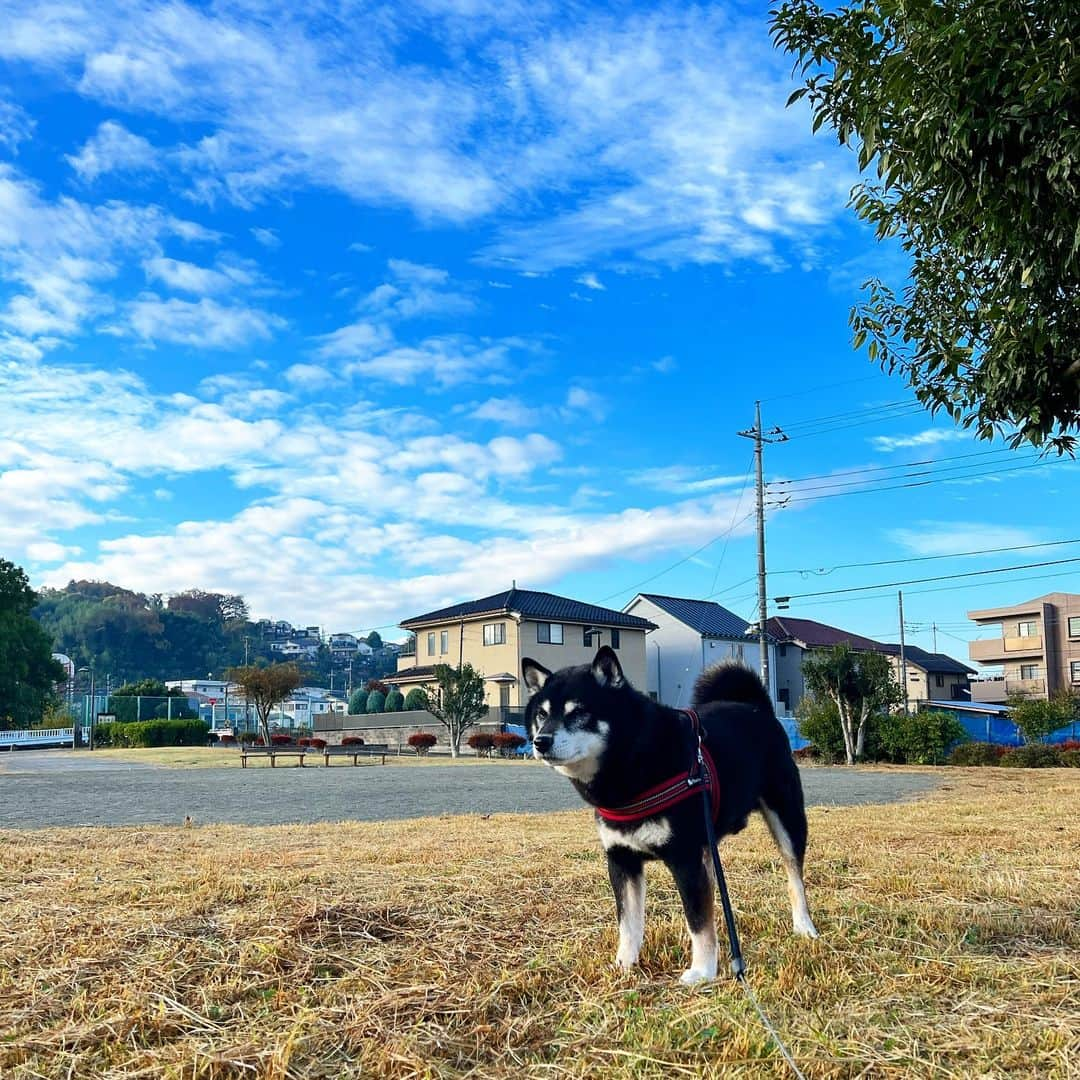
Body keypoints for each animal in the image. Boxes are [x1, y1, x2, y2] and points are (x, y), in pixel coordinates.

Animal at [522, 643, 816, 984]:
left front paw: (702, 972)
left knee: (794, 877)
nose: (540, 741)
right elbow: (629, 924)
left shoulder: (685, 858)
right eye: (542, 715)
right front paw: (624, 965)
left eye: (579, 712)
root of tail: (758, 709)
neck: (631, 767)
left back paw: (804, 926)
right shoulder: (622, 859)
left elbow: (698, 921)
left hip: (787, 819)